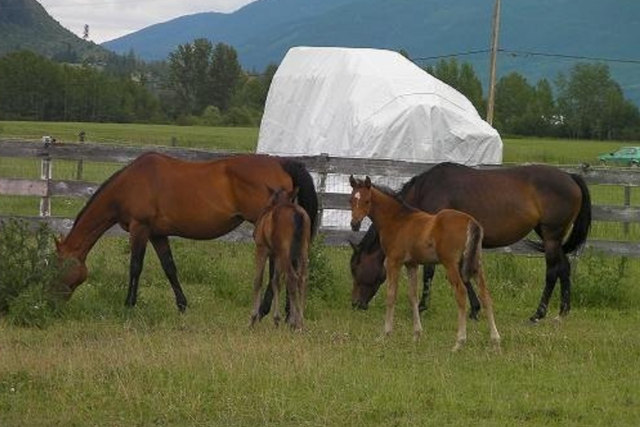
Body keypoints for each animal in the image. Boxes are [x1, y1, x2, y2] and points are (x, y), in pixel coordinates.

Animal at [54, 152, 318, 312]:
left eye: (56, 266)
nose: (52, 301)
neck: (129, 184)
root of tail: (280, 163)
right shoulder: (157, 234)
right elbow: (169, 267)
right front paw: (182, 305)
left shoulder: (140, 229)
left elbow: (135, 267)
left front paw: (129, 304)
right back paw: (286, 310)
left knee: (281, 263)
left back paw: (266, 309)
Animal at [250, 187, 311, 331]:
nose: (254, 233)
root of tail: (297, 214)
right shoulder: (277, 256)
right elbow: (276, 282)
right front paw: (276, 319)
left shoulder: (262, 249)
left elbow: (258, 280)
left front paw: (253, 319)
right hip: (302, 251)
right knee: (302, 279)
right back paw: (300, 321)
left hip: (285, 253)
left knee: (292, 278)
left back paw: (295, 323)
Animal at [349, 162, 592, 323]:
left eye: (357, 269)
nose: (356, 304)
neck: (427, 191)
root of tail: (570, 177)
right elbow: (463, 274)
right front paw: (475, 309)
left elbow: (431, 273)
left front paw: (421, 306)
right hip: (550, 237)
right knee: (564, 268)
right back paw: (563, 311)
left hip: (551, 236)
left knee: (552, 271)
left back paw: (538, 313)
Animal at [349, 175, 500, 351]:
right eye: (351, 200)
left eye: (367, 201)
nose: (354, 224)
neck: (397, 220)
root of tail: (471, 221)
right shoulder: (411, 264)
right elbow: (412, 296)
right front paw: (416, 335)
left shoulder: (394, 261)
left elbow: (391, 295)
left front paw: (385, 334)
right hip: (475, 264)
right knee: (485, 295)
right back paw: (495, 341)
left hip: (451, 264)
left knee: (461, 293)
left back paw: (459, 342)